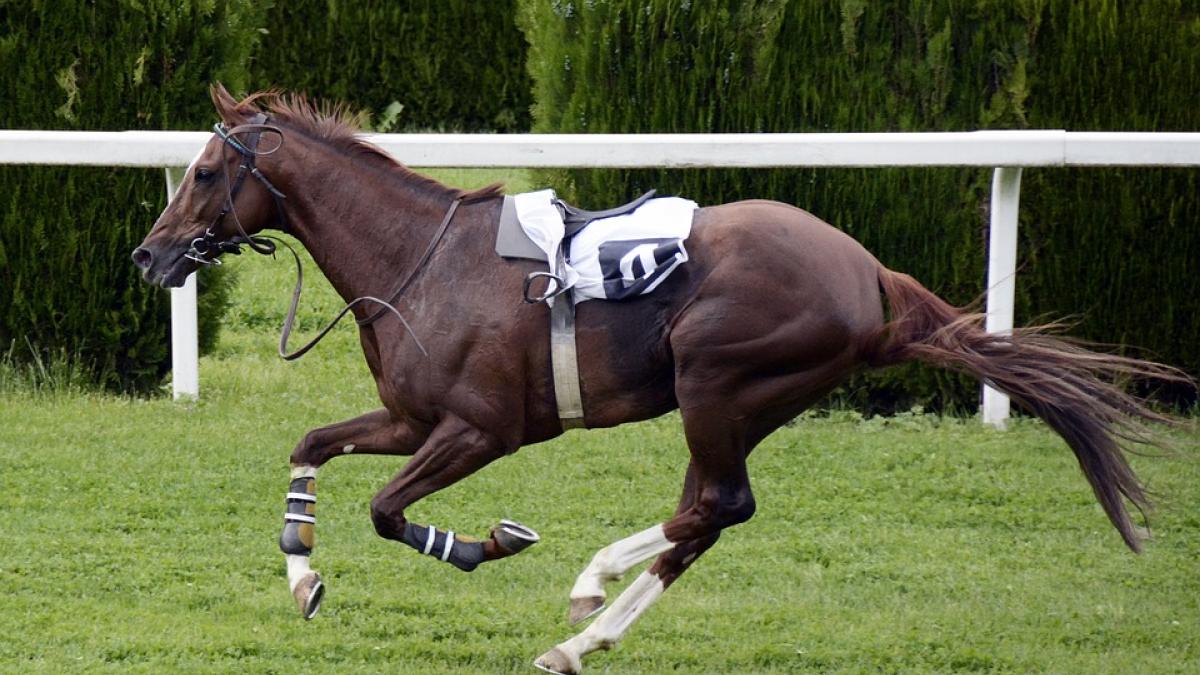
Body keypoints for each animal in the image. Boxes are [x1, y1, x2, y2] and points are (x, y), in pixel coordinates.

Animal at [132, 85, 1187, 674]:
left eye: (205, 172)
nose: (150, 255)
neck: (418, 260)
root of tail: (869, 273)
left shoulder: (481, 428)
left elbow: (390, 511)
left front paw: (486, 542)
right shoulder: (411, 415)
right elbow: (311, 446)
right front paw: (302, 574)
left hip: (718, 383)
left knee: (714, 505)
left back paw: (587, 587)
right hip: (736, 401)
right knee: (705, 517)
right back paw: (582, 634)